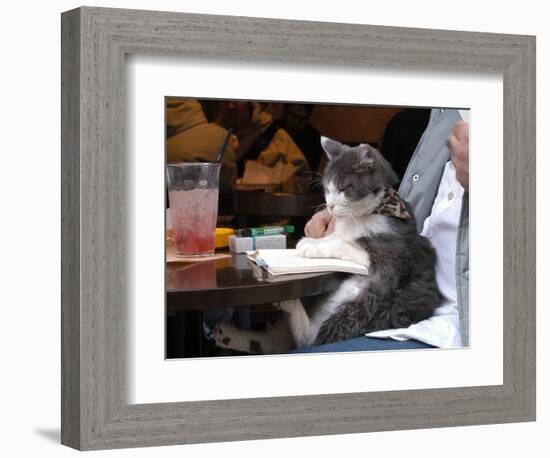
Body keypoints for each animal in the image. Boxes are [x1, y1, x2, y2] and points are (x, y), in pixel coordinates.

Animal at [213, 137, 442, 354]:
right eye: (327, 189)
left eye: (343, 189)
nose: (330, 206)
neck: (361, 216)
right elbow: (335, 236)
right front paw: (314, 239)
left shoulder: (388, 258)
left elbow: (343, 243)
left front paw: (310, 246)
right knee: (276, 342)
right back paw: (227, 334)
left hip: (365, 304)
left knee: (311, 339)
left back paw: (288, 305)